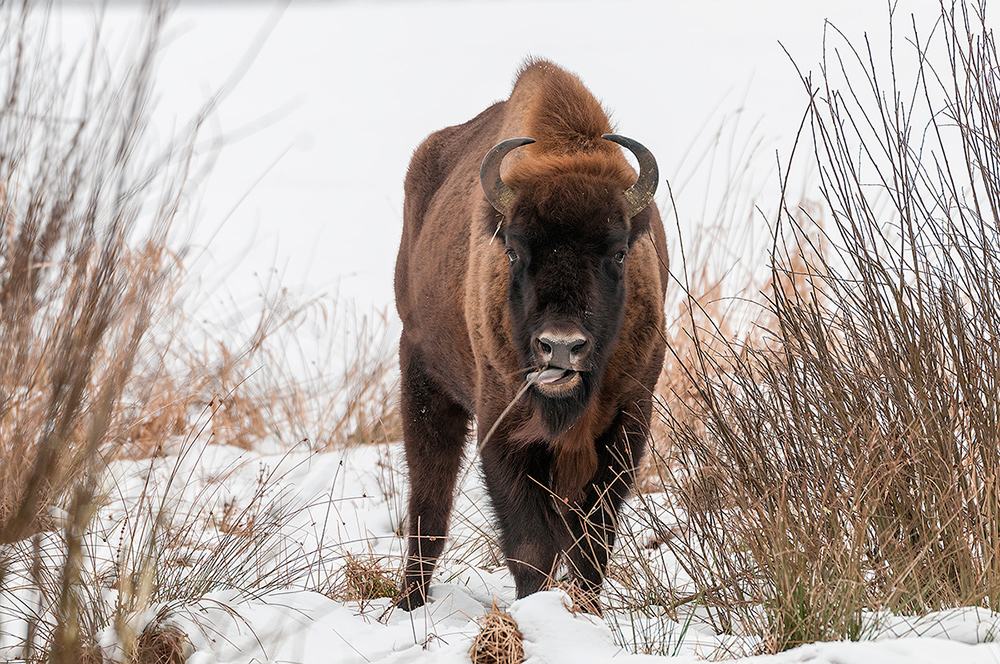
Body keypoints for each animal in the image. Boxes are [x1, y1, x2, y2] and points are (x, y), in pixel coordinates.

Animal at [394, 59, 668, 608]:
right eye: (515, 250)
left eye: (619, 252)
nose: (561, 346)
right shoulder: (502, 425)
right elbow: (530, 546)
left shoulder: (627, 421)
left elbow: (591, 541)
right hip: (422, 376)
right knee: (429, 501)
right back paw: (410, 602)